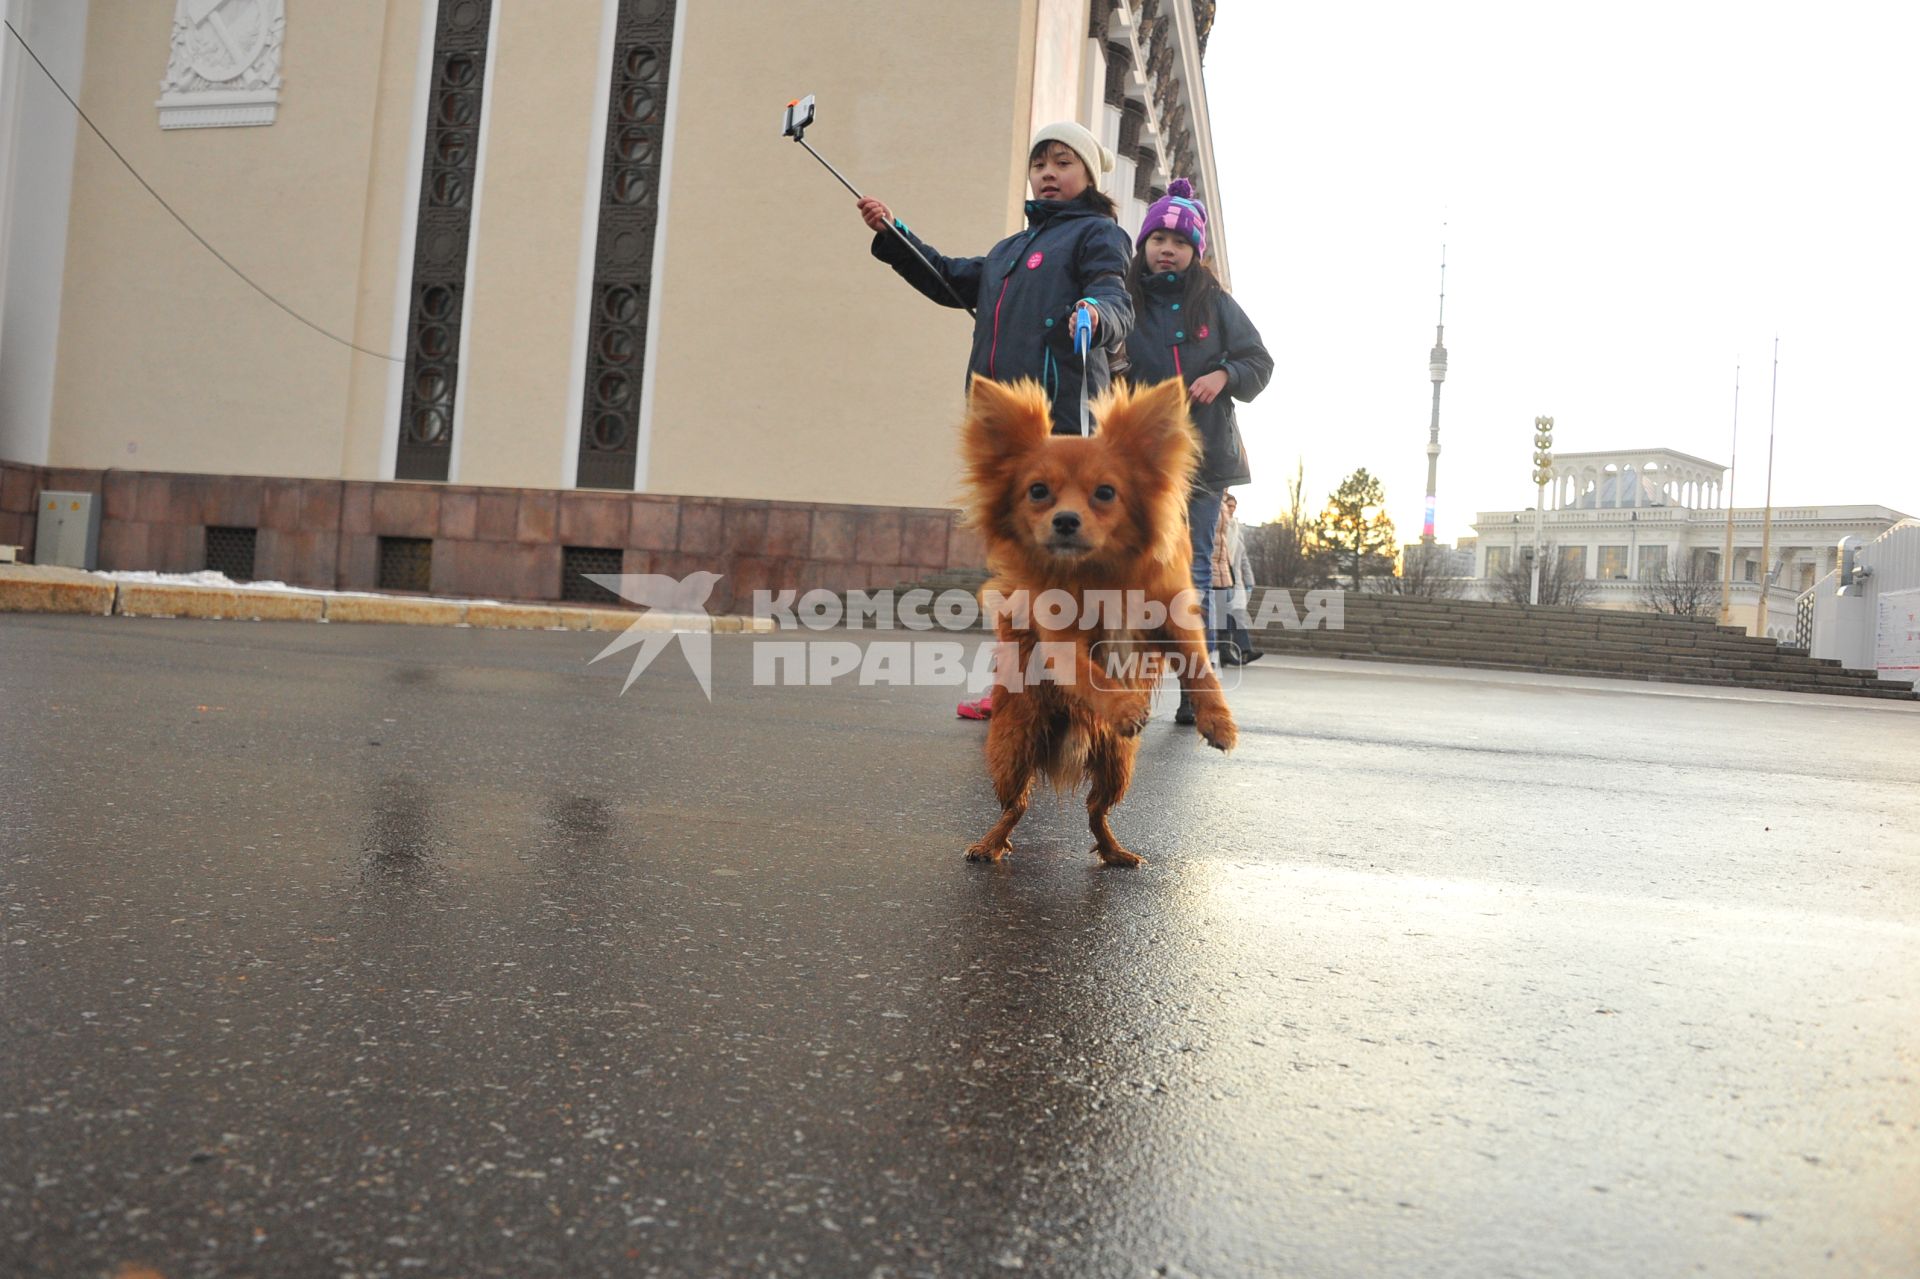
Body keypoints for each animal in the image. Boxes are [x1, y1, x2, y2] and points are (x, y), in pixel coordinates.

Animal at [956, 370, 1228, 868]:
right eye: (1037, 492)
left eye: (1105, 493)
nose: (1065, 520)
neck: (1098, 574)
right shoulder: (1058, 639)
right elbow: (1090, 673)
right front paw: (1123, 706)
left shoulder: (1173, 621)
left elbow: (1200, 667)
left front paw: (1219, 723)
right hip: (1014, 747)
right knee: (1015, 807)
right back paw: (990, 844)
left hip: (1116, 762)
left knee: (1095, 812)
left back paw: (1115, 851)